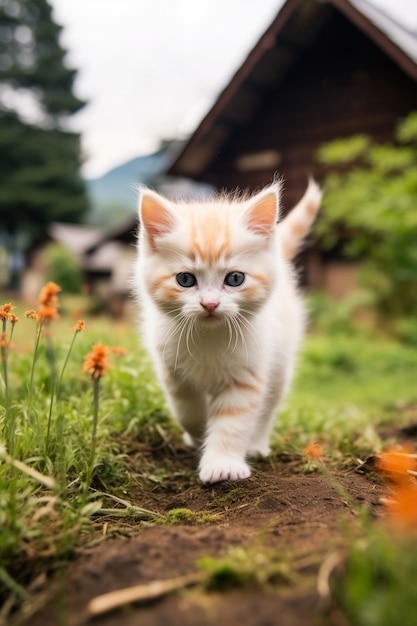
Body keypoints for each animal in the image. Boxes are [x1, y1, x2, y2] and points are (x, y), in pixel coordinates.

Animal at [135, 180, 320, 482]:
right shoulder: (172, 371)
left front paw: (222, 464)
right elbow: (188, 412)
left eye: (234, 279)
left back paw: (257, 444)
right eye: (185, 279)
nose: (210, 304)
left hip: (280, 363)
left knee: (268, 408)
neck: (209, 336)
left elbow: (233, 422)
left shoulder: (247, 373)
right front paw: (198, 435)